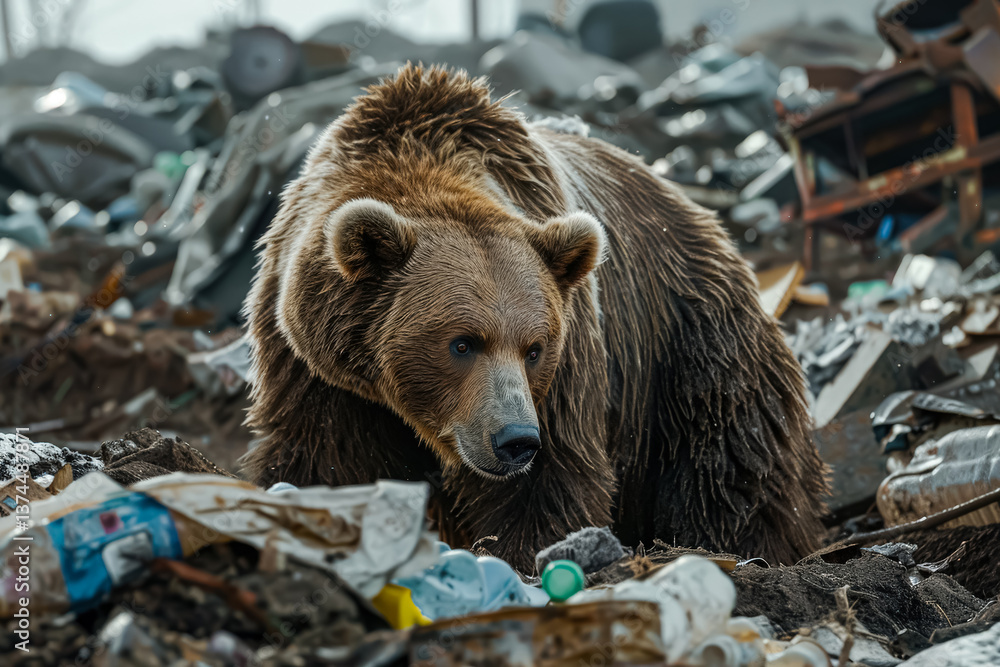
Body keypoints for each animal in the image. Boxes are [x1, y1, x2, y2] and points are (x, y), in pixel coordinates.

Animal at [242, 64, 829, 572]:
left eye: (534, 348)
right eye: (461, 342)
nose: (515, 439)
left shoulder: (570, 356)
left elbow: (547, 480)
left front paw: (528, 554)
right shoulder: (316, 364)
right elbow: (327, 458)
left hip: (686, 338)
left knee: (730, 454)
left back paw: (748, 544)